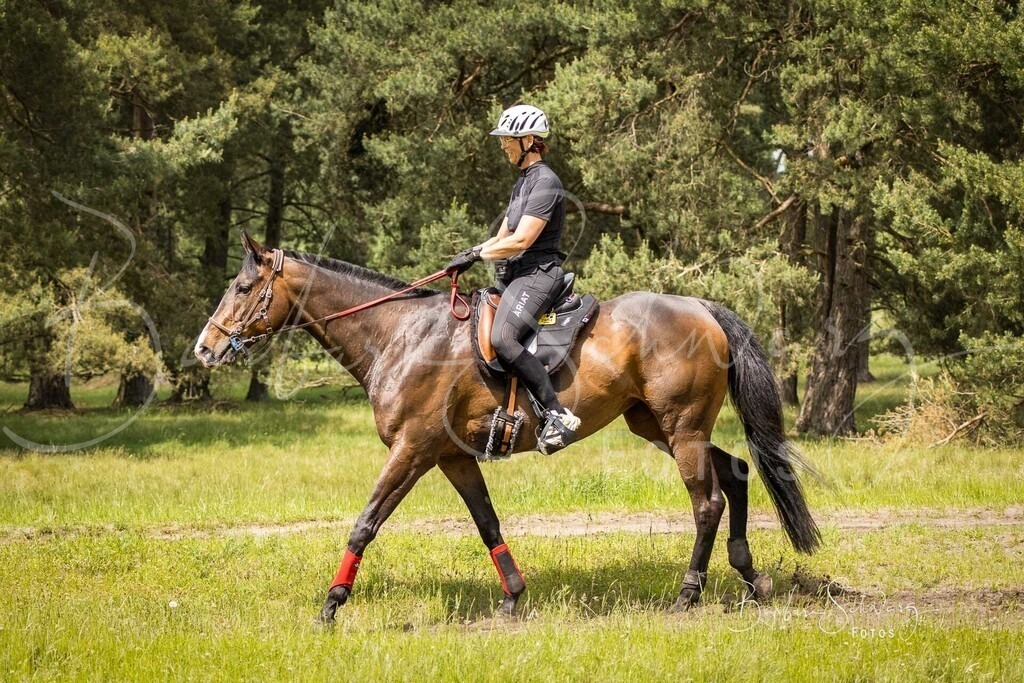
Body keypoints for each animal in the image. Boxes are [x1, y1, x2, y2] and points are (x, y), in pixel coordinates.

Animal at [194, 231, 821, 623]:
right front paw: (514, 598)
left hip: (681, 428)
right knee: (735, 472)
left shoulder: (412, 450)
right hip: (656, 426)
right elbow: (487, 523)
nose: (204, 348)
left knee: (707, 501)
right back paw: (750, 578)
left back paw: (689, 594)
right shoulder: (450, 456)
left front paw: (331, 604)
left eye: (243, 288)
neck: (400, 334)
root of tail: (700, 306)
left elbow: (364, 525)